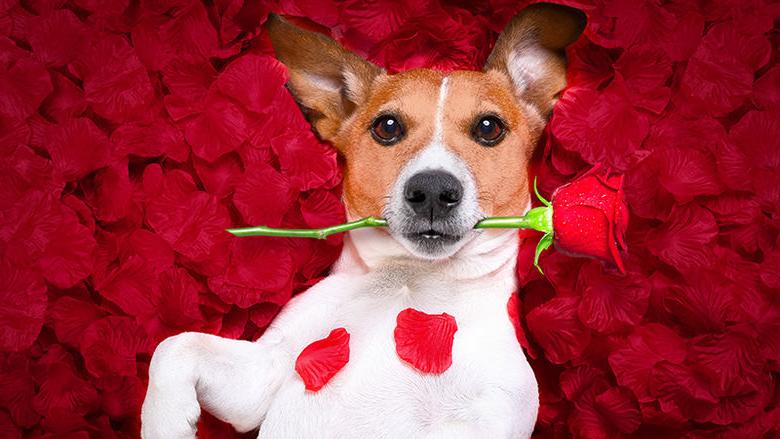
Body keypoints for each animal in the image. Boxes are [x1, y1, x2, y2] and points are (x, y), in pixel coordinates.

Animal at [140, 4, 584, 439]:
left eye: (489, 127)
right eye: (387, 126)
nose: (433, 190)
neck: (414, 283)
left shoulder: (494, 413)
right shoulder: (260, 378)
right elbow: (175, 345)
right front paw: (163, 421)